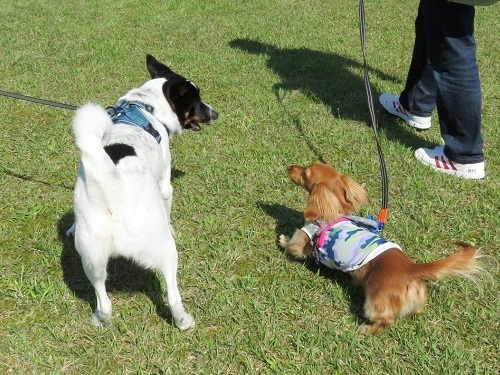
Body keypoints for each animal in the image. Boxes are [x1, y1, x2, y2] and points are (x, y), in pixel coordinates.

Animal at [69, 54, 218, 330]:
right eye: (196, 100)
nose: (215, 113)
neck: (145, 108)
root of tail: (114, 188)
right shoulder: (166, 187)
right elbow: (168, 205)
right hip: (166, 250)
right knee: (172, 296)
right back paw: (184, 321)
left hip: (92, 258)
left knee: (104, 301)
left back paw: (100, 319)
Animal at [280, 161, 478, 334]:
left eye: (305, 174)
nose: (289, 167)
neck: (336, 212)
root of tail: (411, 268)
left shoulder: (304, 236)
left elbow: (294, 246)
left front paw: (282, 240)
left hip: (375, 300)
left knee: (385, 320)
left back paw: (367, 330)